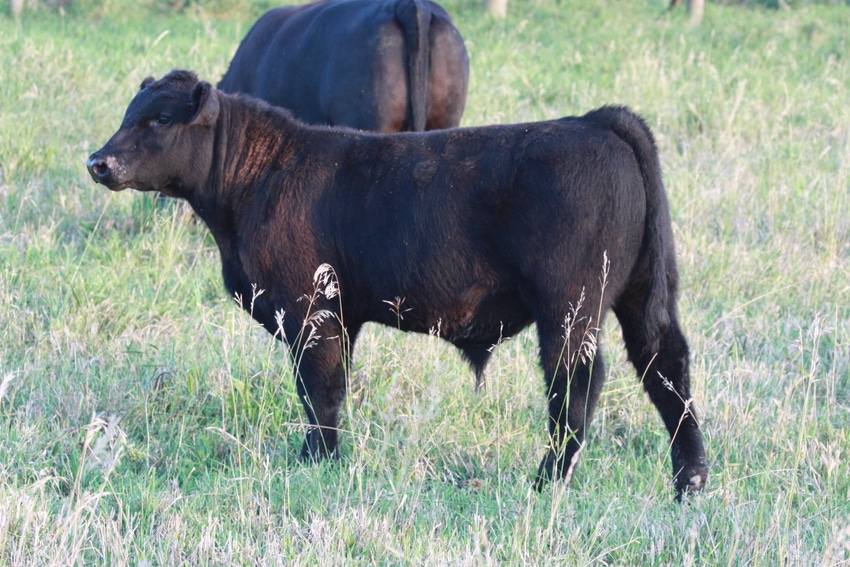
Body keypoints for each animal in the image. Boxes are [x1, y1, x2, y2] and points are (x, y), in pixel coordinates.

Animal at [88, 70, 708, 496]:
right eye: (128, 113)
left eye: (160, 119)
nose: (98, 161)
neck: (257, 179)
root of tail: (592, 121)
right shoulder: (340, 316)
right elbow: (331, 386)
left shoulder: (310, 311)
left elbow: (318, 389)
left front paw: (316, 461)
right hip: (644, 296)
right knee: (665, 366)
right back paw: (690, 481)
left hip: (569, 308)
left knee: (577, 383)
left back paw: (549, 479)